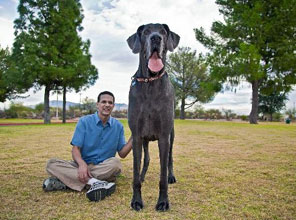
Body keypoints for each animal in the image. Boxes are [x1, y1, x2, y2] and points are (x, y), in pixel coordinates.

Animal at [126, 23, 179, 211]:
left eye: (163, 32)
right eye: (146, 32)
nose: (156, 38)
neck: (150, 82)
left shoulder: (164, 136)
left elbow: (162, 174)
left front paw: (163, 201)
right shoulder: (136, 135)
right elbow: (136, 170)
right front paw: (136, 200)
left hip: (172, 135)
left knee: (170, 158)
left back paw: (171, 176)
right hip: (145, 139)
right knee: (146, 159)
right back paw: (143, 175)